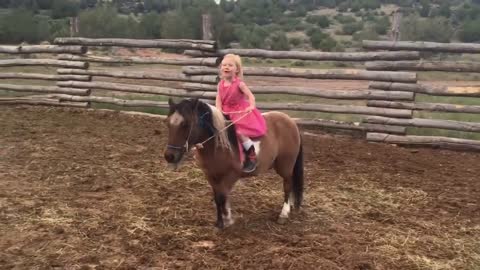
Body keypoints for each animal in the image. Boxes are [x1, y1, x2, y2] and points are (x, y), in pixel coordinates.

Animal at [163, 98, 302, 229]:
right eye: (168, 123)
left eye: (185, 124)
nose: (169, 156)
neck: (217, 145)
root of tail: (290, 121)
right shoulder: (211, 175)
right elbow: (218, 197)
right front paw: (222, 220)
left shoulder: (231, 175)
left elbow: (222, 196)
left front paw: (225, 220)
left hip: (285, 166)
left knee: (287, 185)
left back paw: (283, 214)